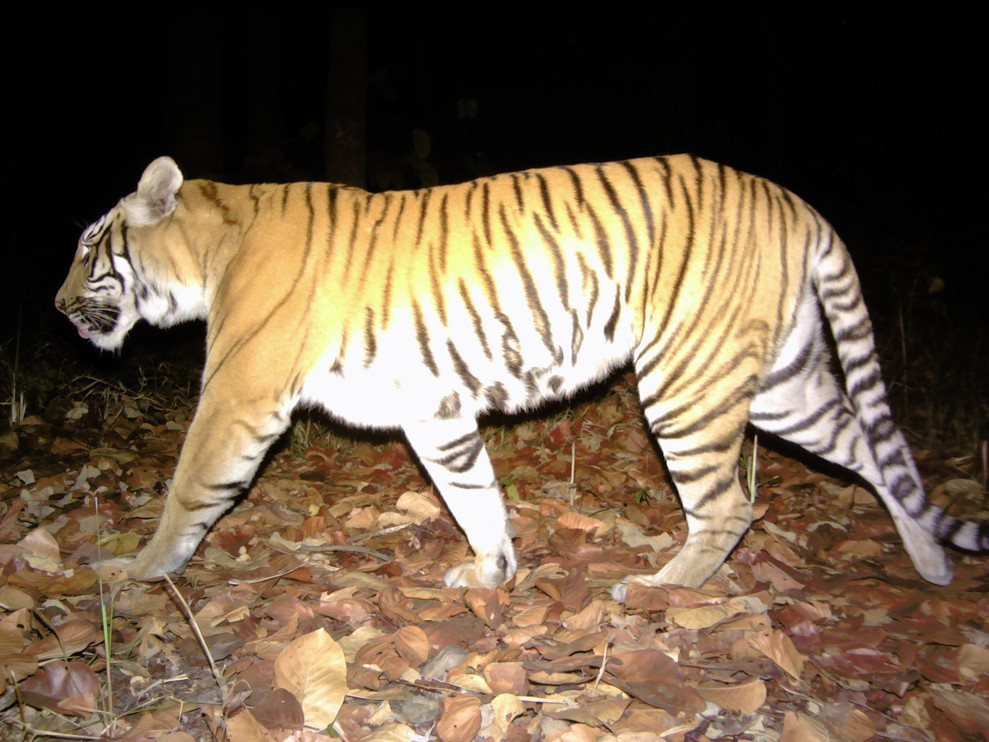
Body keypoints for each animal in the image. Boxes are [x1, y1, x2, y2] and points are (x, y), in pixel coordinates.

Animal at [56, 154, 987, 593]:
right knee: (871, 451)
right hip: (778, 381)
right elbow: (475, 499)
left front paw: (136, 573)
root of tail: (795, 201)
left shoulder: (237, 395)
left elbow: (188, 487)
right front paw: (492, 575)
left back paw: (659, 591)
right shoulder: (433, 411)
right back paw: (930, 563)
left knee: (729, 505)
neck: (215, 244)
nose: (58, 306)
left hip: (687, 382)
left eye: (87, 247)